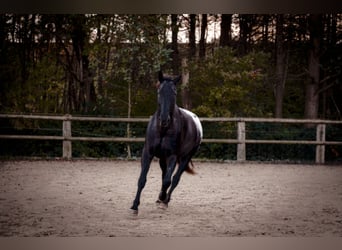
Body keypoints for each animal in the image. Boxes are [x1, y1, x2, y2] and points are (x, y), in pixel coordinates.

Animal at [130, 71, 200, 214]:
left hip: (185, 158)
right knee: (164, 175)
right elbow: (142, 179)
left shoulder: (172, 156)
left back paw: (165, 200)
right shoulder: (148, 153)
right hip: (163, 159)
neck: (163, 130)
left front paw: (162, 199)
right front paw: (135, 205)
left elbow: (168, 181)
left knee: (175, 179)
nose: (164, 119)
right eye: (159, 91)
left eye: (174, 92)